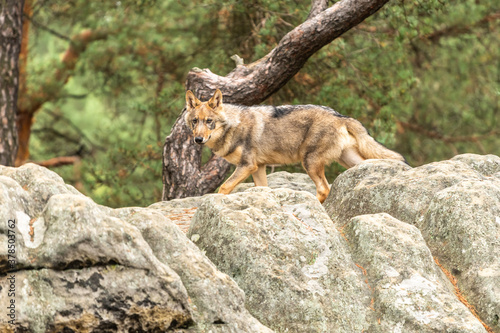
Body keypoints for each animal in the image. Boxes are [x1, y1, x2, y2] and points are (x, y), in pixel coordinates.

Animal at [185, 89, 406, 202]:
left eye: (209, 122)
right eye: (195, 121)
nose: (198, 140)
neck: (233, 125)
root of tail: (340, 115)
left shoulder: (247, 166)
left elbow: (223, 187)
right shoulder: (259, 168)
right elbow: (263, 190)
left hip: (309, 163)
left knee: (324, 189)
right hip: (348, 161)